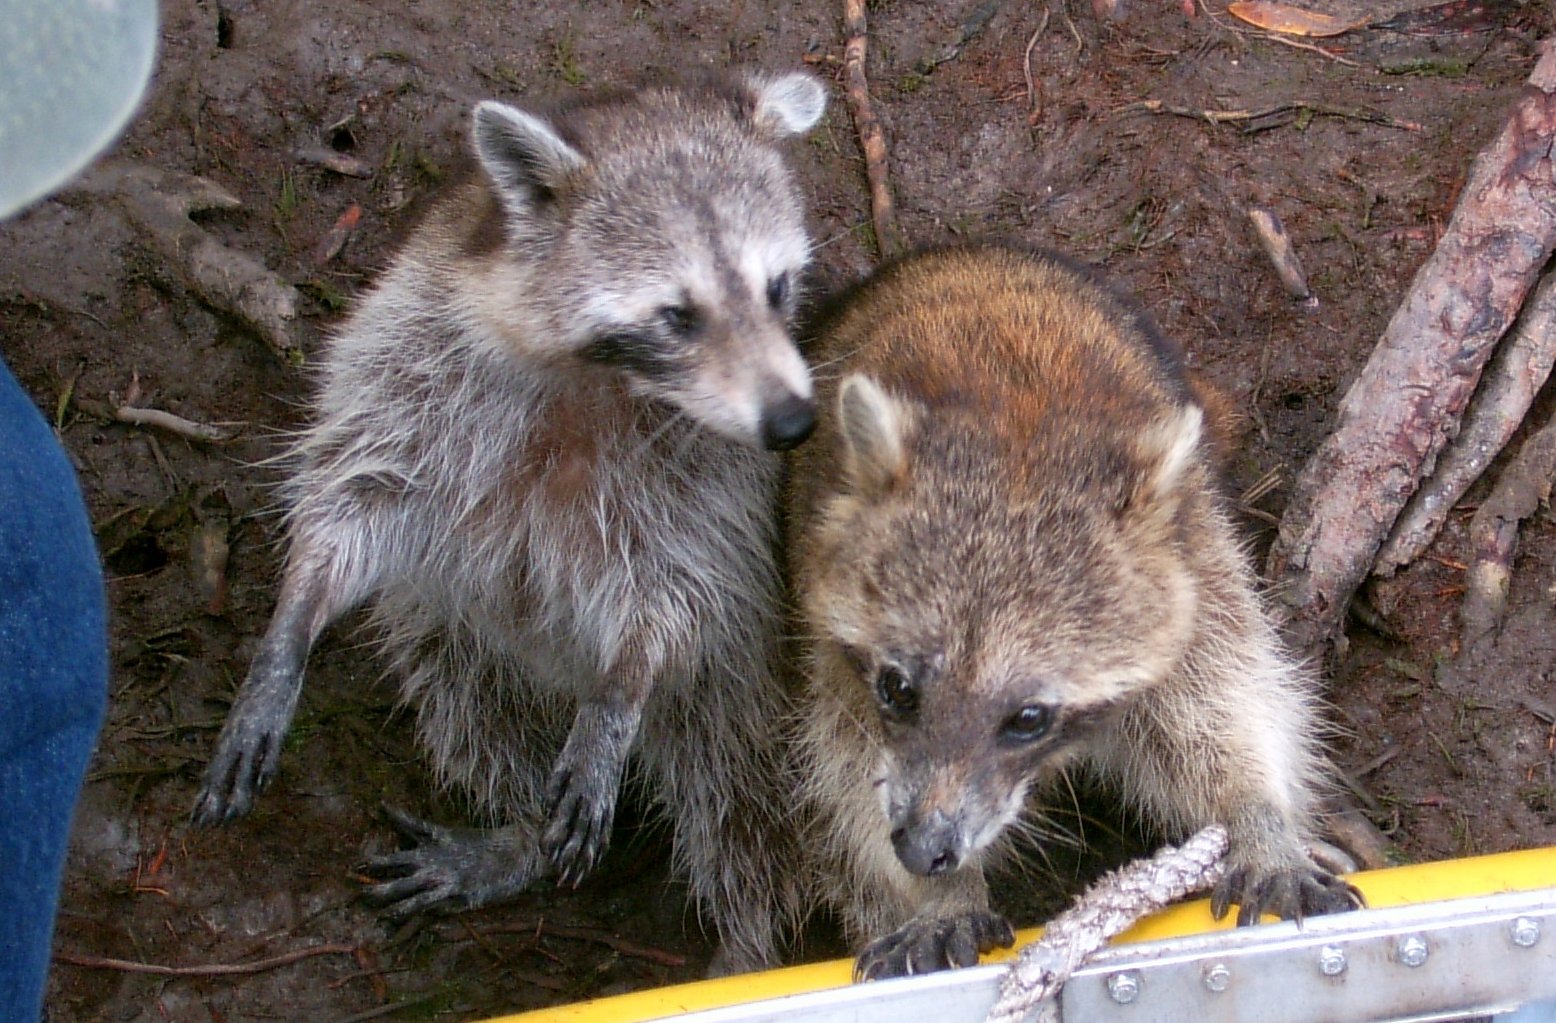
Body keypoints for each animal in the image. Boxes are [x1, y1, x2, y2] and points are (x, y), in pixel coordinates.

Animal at [188, 73, 827, 971]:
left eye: (777, 287)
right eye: (678, 314)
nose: (794, 423)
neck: (594, 376)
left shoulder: (714, 481)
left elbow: (679, 587)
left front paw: (623, 683)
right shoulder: (412, 349)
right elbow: (354, 496)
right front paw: (291, 622)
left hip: (749, 679)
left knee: (743, 795)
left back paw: (747, 942)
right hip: (461, 631)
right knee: (469, 696)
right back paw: (520, 829)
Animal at [784, 242, 1356, 977]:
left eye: (1028, 718)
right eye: (899, 689)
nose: (921, 849)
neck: (1014, 450)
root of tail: (965, 254)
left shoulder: (1193, 566)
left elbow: (1227, 705)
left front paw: (1258, 814)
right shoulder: (831, 645)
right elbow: (850, 767)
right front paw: (935, 897)